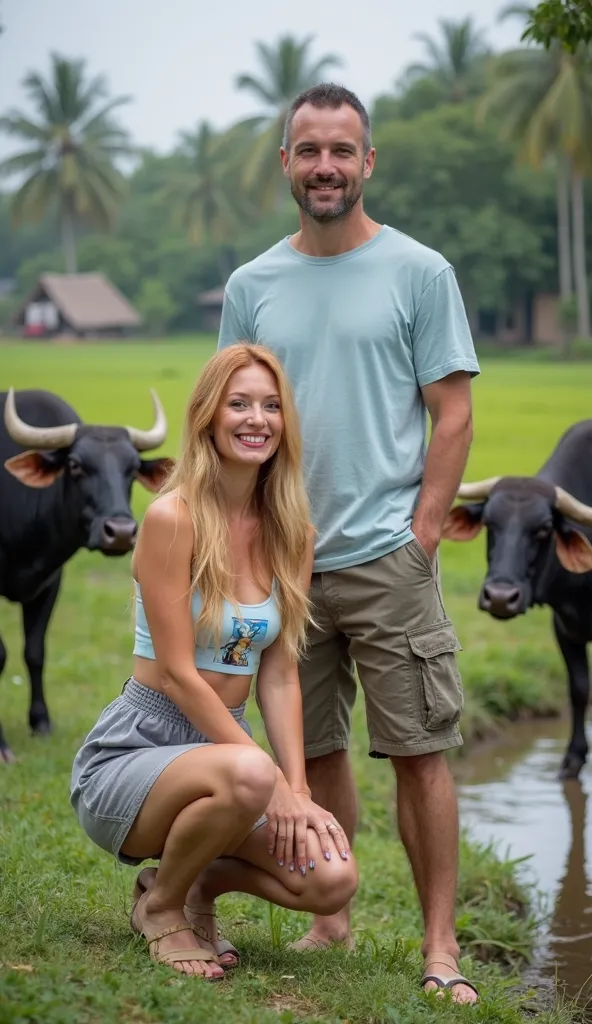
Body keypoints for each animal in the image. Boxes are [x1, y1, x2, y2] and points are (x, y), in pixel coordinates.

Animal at [1, 387, 173, 765]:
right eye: (76, 465)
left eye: (132, 469)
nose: (120, 532)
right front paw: (1, 745)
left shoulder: (50, 582)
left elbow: (34, 651)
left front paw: (41, 724)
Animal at [442, 419, 589, 778]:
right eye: (489, 522)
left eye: (544, 528)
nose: (499, 597)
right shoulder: (565, 628)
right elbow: (579, 689)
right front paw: (573, 759)